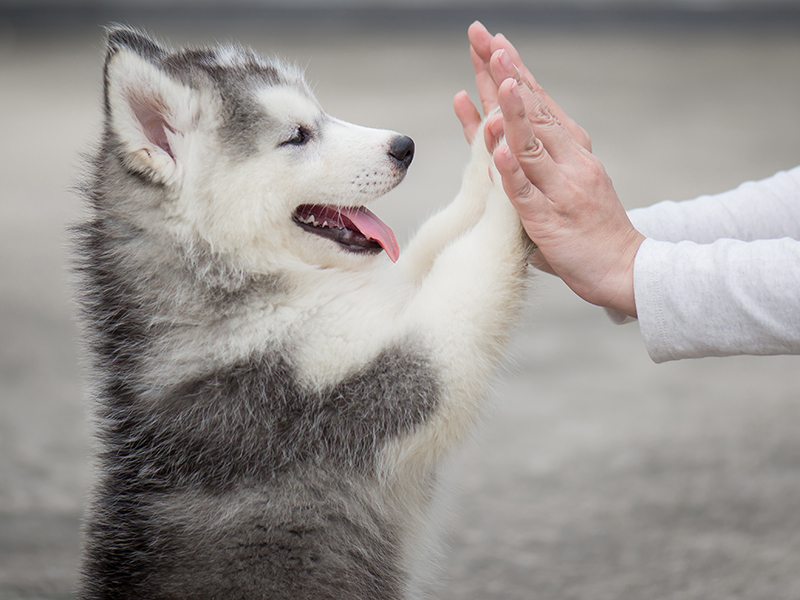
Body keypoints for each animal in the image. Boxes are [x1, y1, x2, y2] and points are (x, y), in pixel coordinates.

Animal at [75, 24, 536, 600]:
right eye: (297, 136)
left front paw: (493, 137)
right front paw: (517, 175)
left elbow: (434, 240)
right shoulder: (363, 385)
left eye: (320, 114)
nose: (404, 146)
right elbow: (468, 268)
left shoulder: (379, 301)